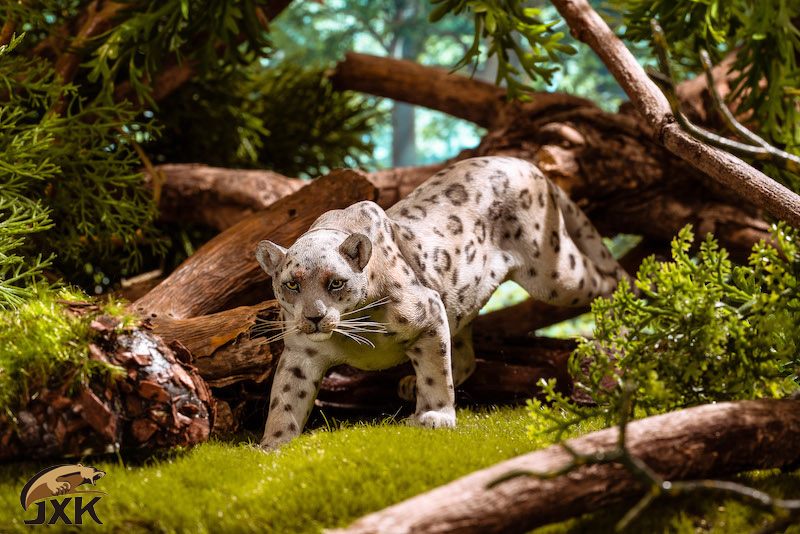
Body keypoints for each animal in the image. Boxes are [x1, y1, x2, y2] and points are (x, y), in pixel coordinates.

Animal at [254, 156, 627, 449]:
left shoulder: (429, 315)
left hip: (555, 271)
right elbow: (285, 398)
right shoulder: (301, 352)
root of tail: (525, 163)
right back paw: (408, 385)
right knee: (465, 356)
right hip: (462, 301)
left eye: (336, 282)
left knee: (603, 277)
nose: (313, 318)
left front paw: (434, 416)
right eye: (292, 284)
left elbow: (436, 374)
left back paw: (622, 315)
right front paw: (272, 446)